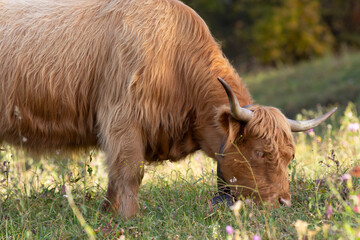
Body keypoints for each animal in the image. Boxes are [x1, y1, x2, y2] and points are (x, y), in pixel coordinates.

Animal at [0, 0, 338, 218]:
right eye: (260, 153)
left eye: (289, 156)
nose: (284, 203)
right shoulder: (122, 120)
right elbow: (129, 174)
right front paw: (127, 220)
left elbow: (115, 178)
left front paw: (107, 214)